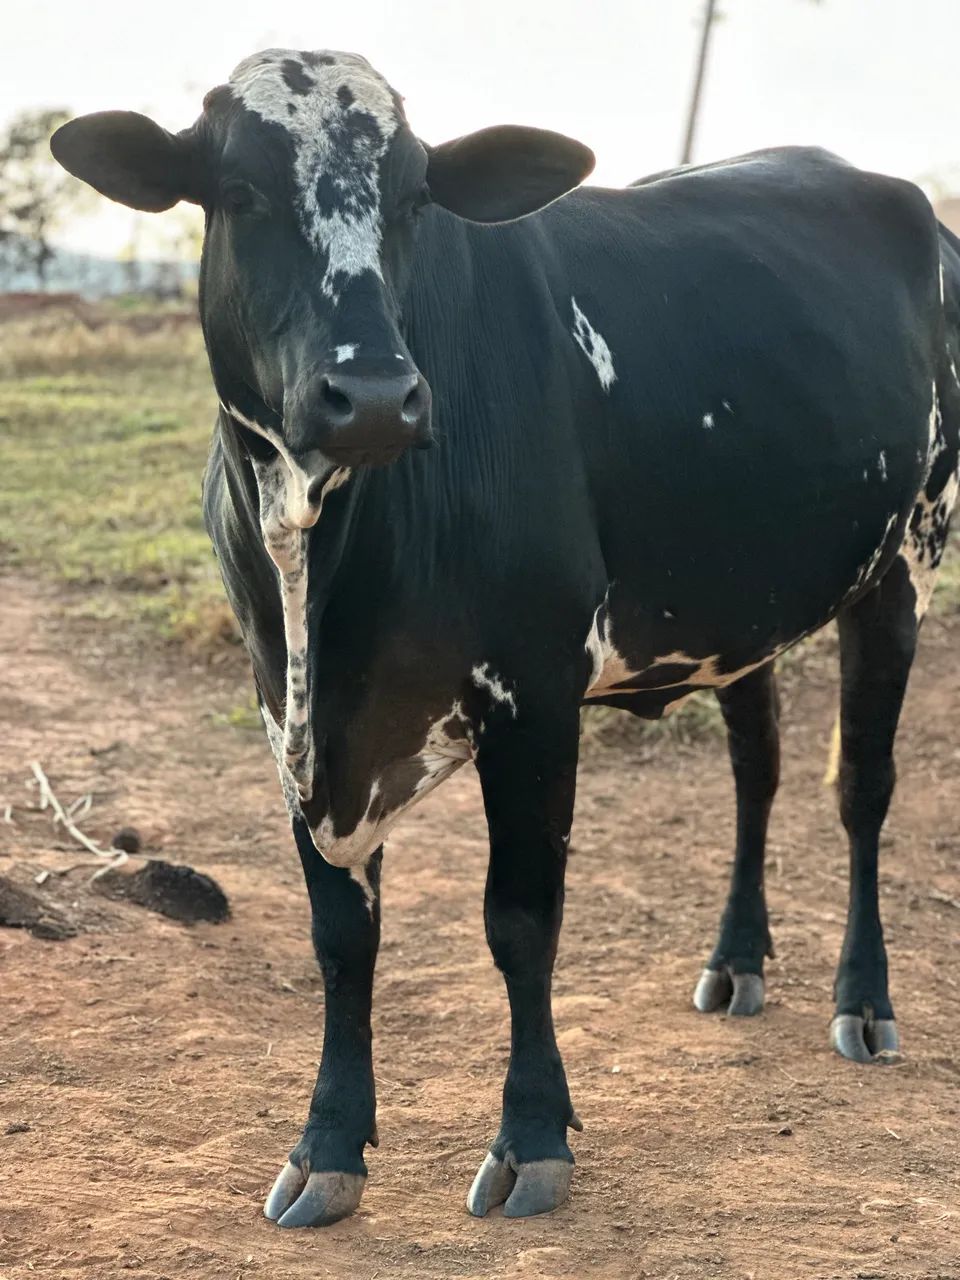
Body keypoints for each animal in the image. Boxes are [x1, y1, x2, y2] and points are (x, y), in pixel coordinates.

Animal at [51, 47, 960, 1229]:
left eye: (413, 199)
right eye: (239, 192)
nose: (374, 396)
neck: (326, 569)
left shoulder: (533, 694)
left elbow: (520, 918)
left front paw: (532, 1136)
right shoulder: (288, 715)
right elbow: (341, 936)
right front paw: (325, 1146)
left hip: (906, 562)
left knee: (861, 788)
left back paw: (865, 1000)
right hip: (736, 609)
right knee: (756, 768)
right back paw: (737, 961)